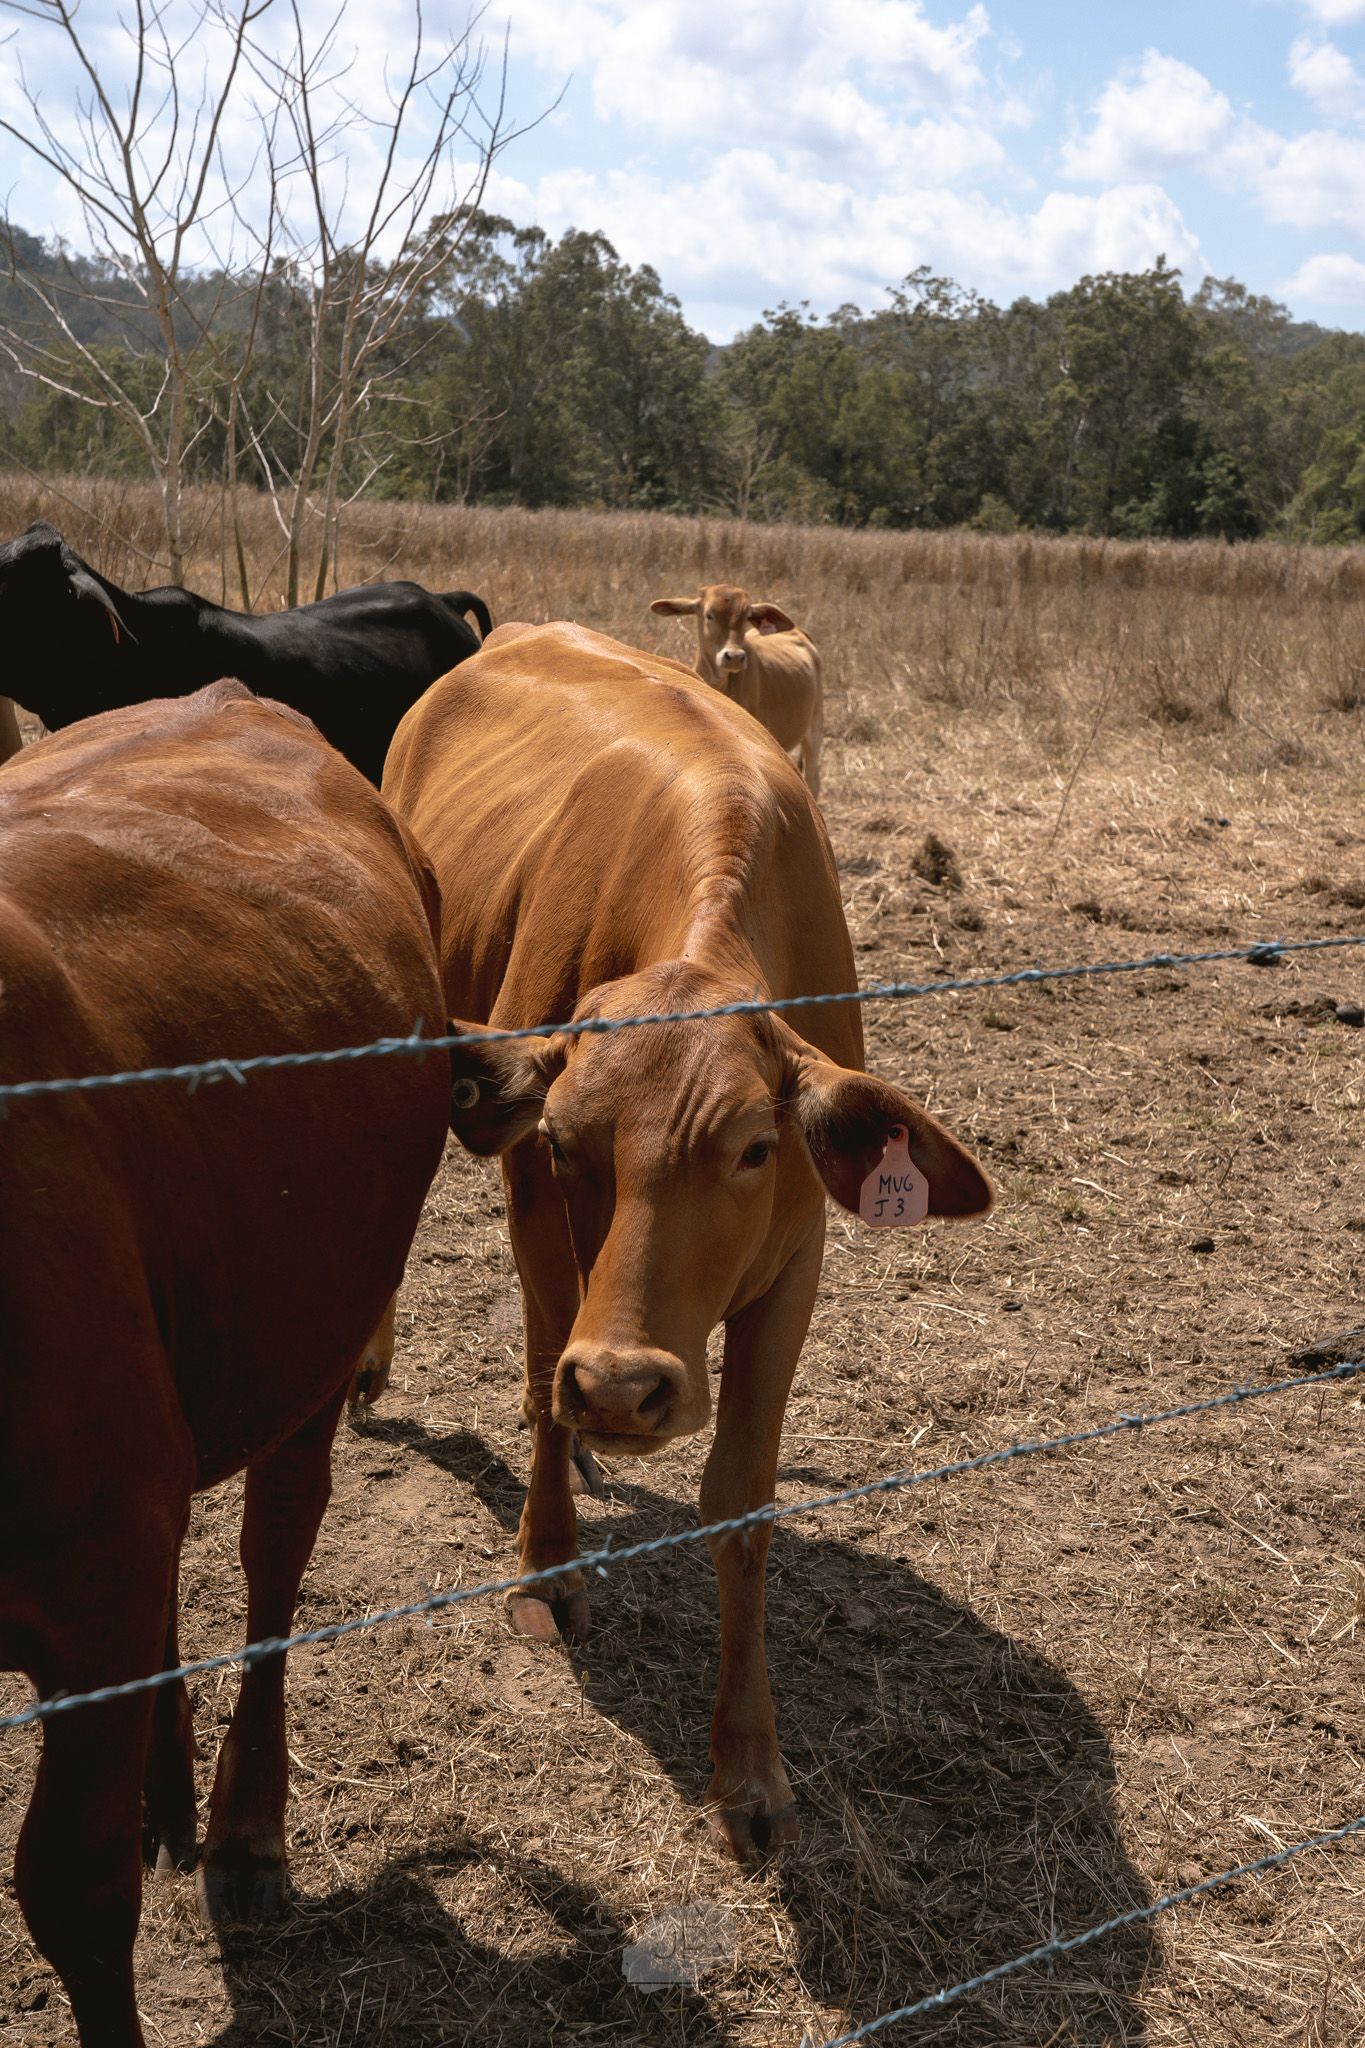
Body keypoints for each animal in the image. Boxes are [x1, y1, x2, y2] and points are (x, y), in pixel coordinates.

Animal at [383, 621, 991, 1860]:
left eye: (757, 1147)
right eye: (563, 1137)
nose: (621, 1386)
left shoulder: (797, 1259)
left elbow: (742, 1502)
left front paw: (749, 1767)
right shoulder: (532, 1198)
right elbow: (540, 1375)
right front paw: (546, 1563)